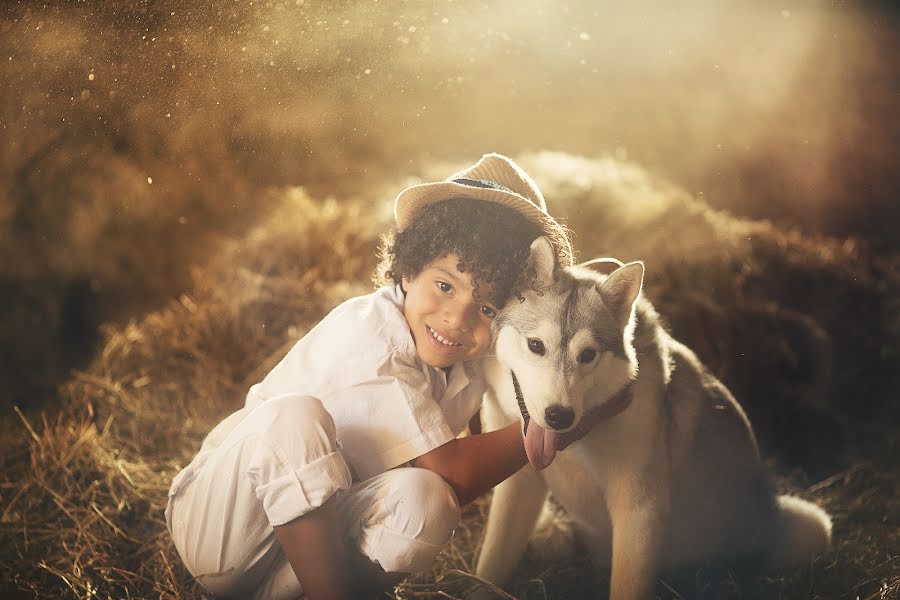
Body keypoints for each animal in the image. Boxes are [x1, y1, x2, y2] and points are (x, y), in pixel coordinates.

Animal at [474, 238, 832, 600]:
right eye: (536, 345)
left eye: (588, 355)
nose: (559, 416)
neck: (575, 443)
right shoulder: (518, 486)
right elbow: (490, 565)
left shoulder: (639, 509)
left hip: (811, 524)